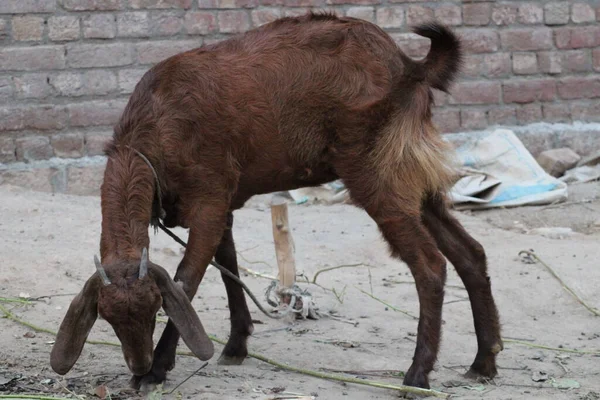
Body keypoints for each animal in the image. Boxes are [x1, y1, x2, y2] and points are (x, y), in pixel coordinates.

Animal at [50, 12, 502, 390]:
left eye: (156, 308)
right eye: (107, 317)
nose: (139, 364)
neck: (155, 130)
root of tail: (408, 66)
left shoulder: (209, 199)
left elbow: (188, 279)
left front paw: (160, 369)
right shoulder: (224, 205)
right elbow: (228, 269)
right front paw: (236, 346)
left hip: (377, 174)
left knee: (430, 264)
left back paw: (417, 374)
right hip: (414, 177)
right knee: (470, 252)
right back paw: (484, 361)